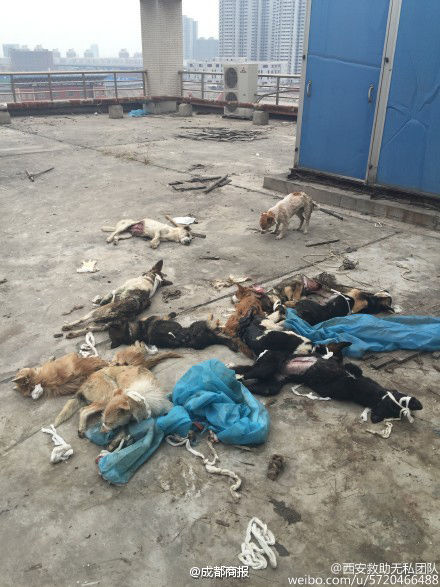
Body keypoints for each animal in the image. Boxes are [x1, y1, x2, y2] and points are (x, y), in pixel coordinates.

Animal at [229, 344, 423, 423]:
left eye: (394, 410)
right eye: (395, 405)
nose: (417, 404)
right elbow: (351, 368)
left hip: (272, 385)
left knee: (251, 382)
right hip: (268, 365)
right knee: (247, 373)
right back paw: (232, 373)